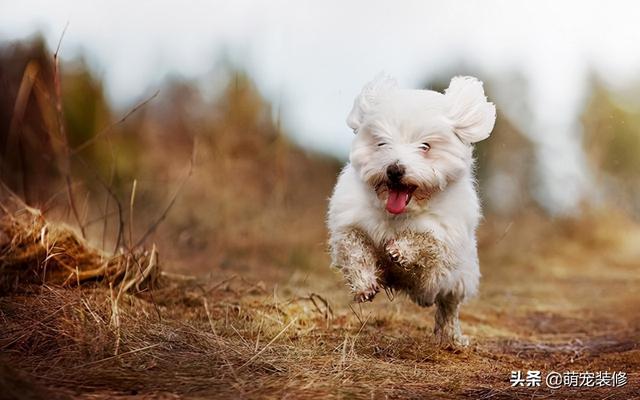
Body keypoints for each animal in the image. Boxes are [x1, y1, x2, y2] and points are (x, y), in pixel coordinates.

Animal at [328, 74, 498, 346]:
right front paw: (364, 285)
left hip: (460, 278)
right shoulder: (350, 223)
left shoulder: (443, 237)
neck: (399, 213)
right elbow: (356, 250)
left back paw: (451, 338)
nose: (395, 169)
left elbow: (425, 241)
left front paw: (400, 251)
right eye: (382, 143)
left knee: (448, 307)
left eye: (425, 146)